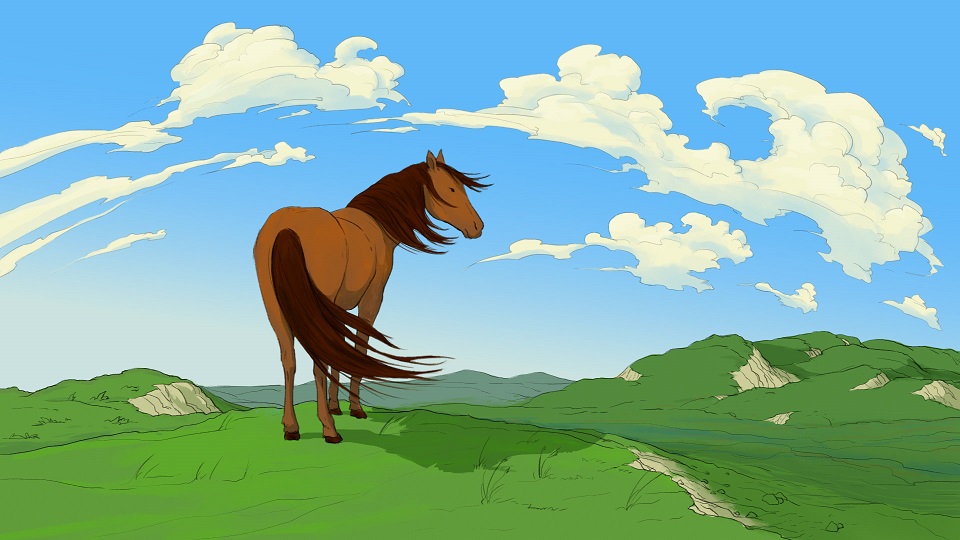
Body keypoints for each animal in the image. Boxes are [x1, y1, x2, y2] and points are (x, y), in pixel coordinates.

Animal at [253, 150, 489, 443]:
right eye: (451, 189)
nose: (478, 226)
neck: (377, 224)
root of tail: (286, 228)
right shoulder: (371, 301)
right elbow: (359, 347)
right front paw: (354, 408)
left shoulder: (337, 308)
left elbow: (339, 351)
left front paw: (336, 405)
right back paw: (329, 430)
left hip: (275, 309)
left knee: (289, 359)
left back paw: (292, 427)